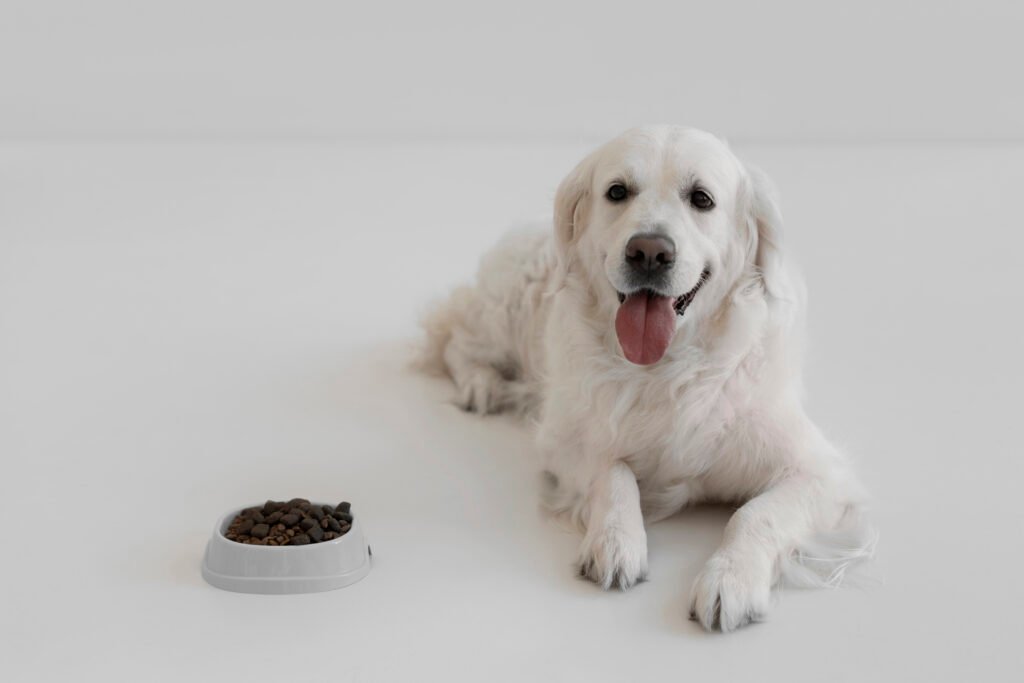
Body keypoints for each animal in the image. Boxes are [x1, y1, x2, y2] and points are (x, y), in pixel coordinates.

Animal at [415, 125, 872, 634]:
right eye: (617, 192)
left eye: (701, 198)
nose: (649, 252)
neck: (665, 367)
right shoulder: (564, 441)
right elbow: (613, 474)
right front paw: (617, 541)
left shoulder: (819, 472)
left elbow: (756, 513)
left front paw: (730, 579)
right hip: (502, 312)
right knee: (457, 337)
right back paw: (481, 385)